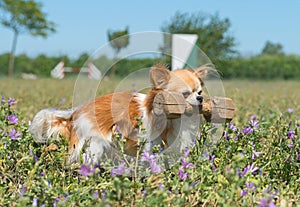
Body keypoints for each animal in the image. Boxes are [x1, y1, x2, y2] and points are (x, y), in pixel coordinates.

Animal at [29, 64, 210, 164]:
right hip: (95, 143)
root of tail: (76, 112)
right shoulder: (148, 142)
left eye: (200, 91)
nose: (200, 98)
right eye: (185, 94)